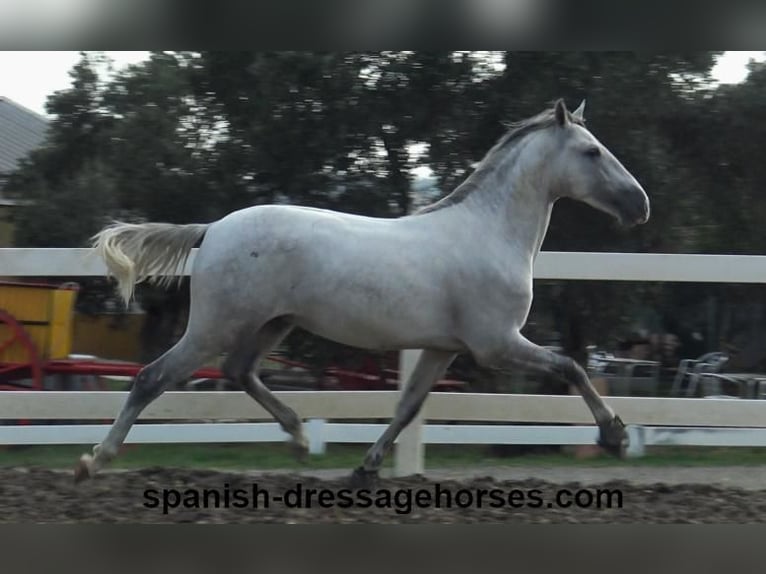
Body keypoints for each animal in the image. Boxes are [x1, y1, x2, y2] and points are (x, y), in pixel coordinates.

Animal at [78, 99, 652, 486]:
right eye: (591, 151)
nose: (639, 205)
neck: (490, 232)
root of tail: (214, 228)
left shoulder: (443, 348)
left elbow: (408, 407)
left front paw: (366, 468)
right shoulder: (496, 343)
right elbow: (571, 367)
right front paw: (615, 436)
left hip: (271, 324)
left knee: (240, 372)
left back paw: (300, 438)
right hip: (216, 325)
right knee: (152, 379)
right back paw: (94, 461)